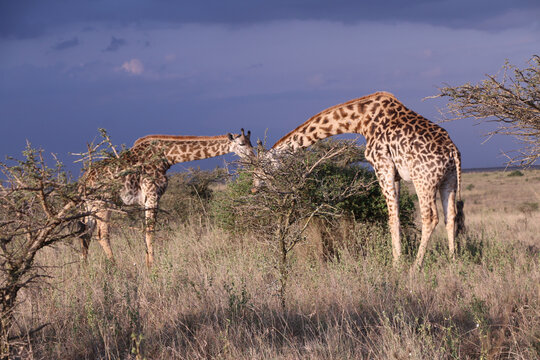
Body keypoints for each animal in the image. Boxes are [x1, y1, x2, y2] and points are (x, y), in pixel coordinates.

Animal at [79, 129, 254, 268]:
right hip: (103, 203)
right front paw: (151, 267)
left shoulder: (147, 199)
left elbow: (147, 231)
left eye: (251, 143)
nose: (254, 158)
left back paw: (85, 269)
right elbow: (150, 231)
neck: (167, 157)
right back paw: (115, 267)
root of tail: (83, 181)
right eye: (242, 144)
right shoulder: (152, 194)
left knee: (85, 234)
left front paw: (147, 263)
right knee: (101, 235)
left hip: (90, 206)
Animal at [258, 93, 464, 270]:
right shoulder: (395, 174)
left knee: (430, 217)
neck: (360, 120)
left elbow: (392, 218)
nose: (254, 188)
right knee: (451, 216)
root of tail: (453, 151)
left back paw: (416, 267)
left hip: (423, 179)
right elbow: (396, 216)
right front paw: (398, 259)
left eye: (262, 168)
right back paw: (454, 262)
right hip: (449, 180)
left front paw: (396, 265)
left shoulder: (382, 166)